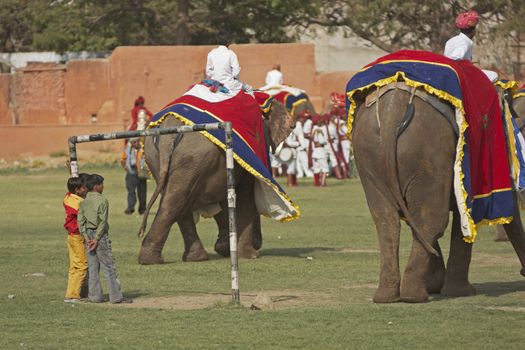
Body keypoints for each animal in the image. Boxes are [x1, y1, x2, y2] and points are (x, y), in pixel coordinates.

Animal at [137, 100, 296, 264]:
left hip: (156, 156)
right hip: (194, 157)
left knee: (176, 198)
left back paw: (192, 258)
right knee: (176, 200)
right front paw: (249, 255)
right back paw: (153, 259)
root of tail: (169, 127)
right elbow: (244, 195)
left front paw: (224, 248)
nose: (258, 243)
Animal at [350, 82, 524, 304]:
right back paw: (414, 296)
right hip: (427, 154)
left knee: (387, 221)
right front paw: (460, 291)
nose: (522, 272)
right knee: (432, 220)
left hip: (370, 156)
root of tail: (391, 114)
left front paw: (437, 285)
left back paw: (387, 296)